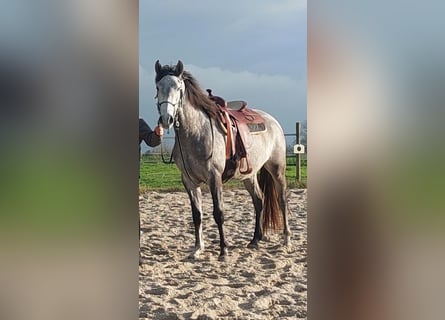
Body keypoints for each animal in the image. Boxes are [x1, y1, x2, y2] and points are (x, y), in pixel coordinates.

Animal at [154, 60, 290, 260]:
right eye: (157, 87)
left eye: (178, 88)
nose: (166, 119)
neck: (196, 132)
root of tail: (273, 121)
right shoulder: (189, 181)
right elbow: (197, 215)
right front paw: (197, 249)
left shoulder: (214, 177)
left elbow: (218, 213)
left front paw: (223, 250)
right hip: (249, 175)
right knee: (259, 201)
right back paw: (255, 240)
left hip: (277, 169)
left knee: (282, 200)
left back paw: (287, 239)